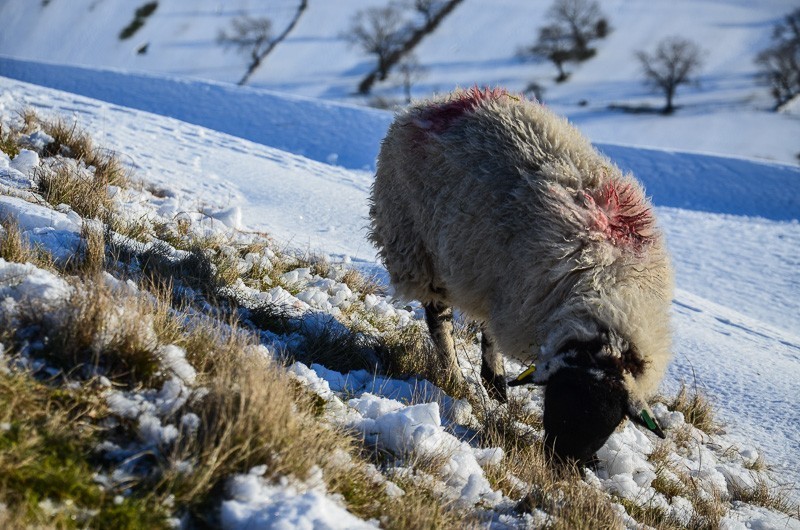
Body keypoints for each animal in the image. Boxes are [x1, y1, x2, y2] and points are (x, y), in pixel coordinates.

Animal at [368, 86, 676, 462]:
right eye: (559, 399)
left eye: (610, 418)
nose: (563, 464)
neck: (610, 288)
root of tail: (433, 103)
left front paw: (495, 384)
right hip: (417, 243)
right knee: (439, 318)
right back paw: (456, 376)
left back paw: (493, 383)